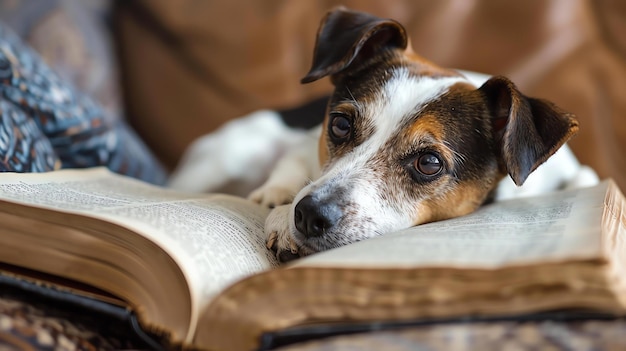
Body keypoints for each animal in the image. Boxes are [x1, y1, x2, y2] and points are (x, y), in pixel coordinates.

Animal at [168, 6, 596, 262]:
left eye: (429, 163)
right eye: (340, 124)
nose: (307, 215)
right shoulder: (307, 141)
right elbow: (292, 167)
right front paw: (277, 202)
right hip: (225, 156)